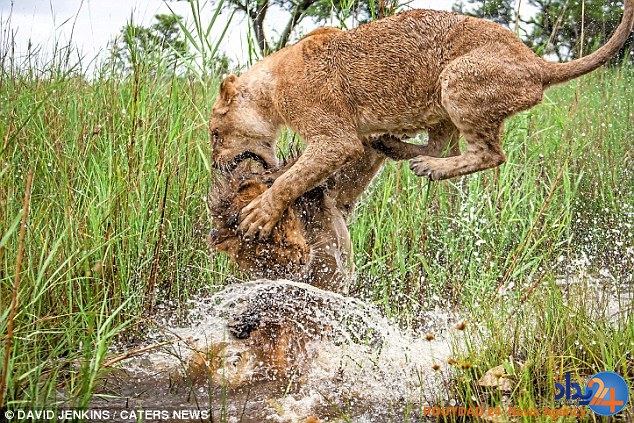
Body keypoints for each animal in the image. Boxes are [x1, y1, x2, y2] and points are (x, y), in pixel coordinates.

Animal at [210, 2, 632, 242]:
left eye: (215, 134)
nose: (215, 164)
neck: (270, 84)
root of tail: (537, 63)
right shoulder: (341, 139)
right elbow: (298, 169)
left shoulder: (335, 137)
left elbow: (293, 178)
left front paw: (259, 214)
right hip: (440, 102)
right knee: (445, 145)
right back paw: (393, 145)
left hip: (457, 77)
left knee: (488, 153)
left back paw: (427, 165)